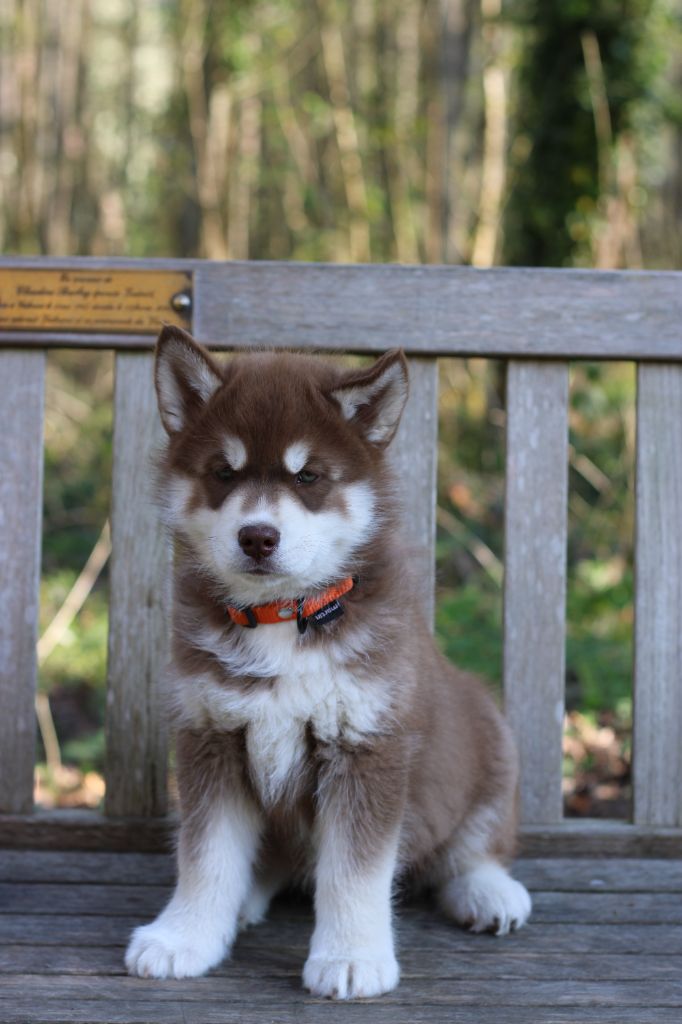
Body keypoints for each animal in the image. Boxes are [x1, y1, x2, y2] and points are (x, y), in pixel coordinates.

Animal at [125, 325, 531, 999]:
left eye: (309, 475)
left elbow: (354, 871)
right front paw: (185, 936)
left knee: (469, 847)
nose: (257, 536)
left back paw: (488, 891)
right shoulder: (211, 736)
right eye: (224, 472)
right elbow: (205, 857)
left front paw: (351, 956)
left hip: (488, 743)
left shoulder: (368, 744)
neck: (282, 618)